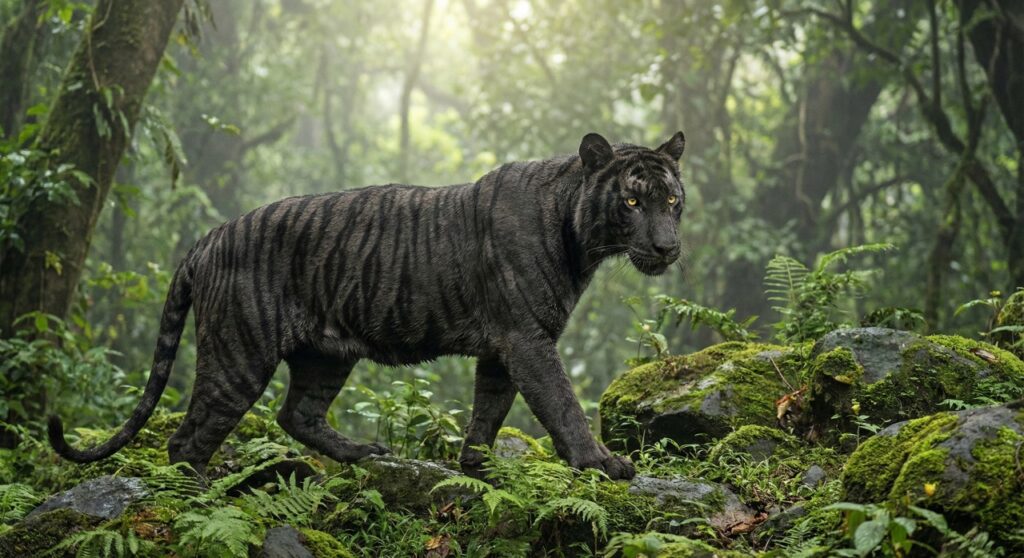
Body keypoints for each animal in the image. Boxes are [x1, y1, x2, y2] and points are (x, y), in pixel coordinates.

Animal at [49, 131, 687, 481]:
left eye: (673, 200)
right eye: (632, 200)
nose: (667, 247)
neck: (581, 239)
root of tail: (211, 235)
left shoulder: (506, 347)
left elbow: (488, 411)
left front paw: (477, 470)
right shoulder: (528, 341)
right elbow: (561, 405)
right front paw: (601, 464)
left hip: (325, 355)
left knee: (296, 415)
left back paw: (361, 451)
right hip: (238, 356)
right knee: (188, 441)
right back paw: (198, 495)